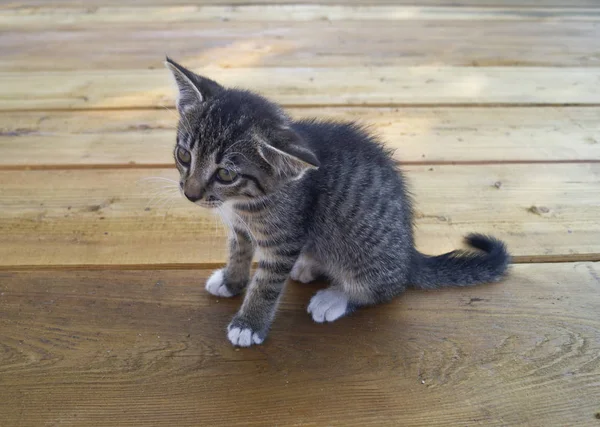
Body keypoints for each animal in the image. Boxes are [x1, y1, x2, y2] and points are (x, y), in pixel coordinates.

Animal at [165, 57, 510, 348]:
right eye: (184, 155)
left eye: (225, 173)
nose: (190, 194)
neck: (243, 202)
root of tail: (410, 257)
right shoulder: (240, 228)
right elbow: (238, 251)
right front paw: (231, 281)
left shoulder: (286, 238)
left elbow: (266, 283)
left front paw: (249, 324)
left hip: (365, 254)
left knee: (384, 289)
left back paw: (335, 298)